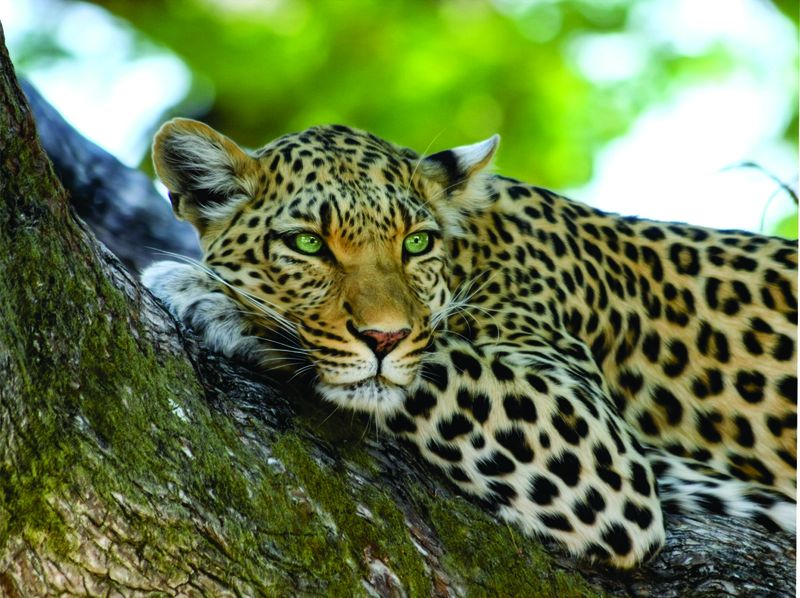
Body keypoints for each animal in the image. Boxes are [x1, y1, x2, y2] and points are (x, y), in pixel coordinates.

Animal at [142, 118, 797, 569]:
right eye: (307, 244)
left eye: (416, 243)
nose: (384, 336)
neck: (474, 251)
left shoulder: (599, 446)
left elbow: (436, 360)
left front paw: (213, 296)